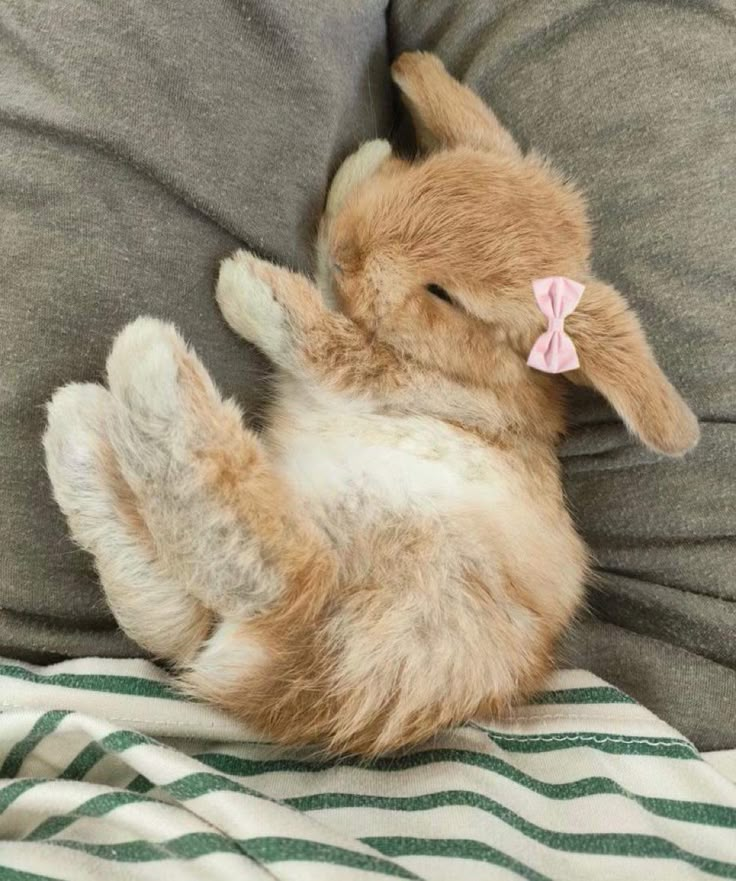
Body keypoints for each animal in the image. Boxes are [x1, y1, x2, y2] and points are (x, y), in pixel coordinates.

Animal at [43, 53, 700, 756]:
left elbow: (325, 338)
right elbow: (327, 286)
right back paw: (79, 426)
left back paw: (145, 362)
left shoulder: (381, 371)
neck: (477, 367)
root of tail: (280, 686)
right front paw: (364, 163)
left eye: (445, 295)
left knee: (270, 569)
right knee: (176, 609)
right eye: (423, 178)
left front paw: (245, 284)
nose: (349, 255)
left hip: (359, 583)